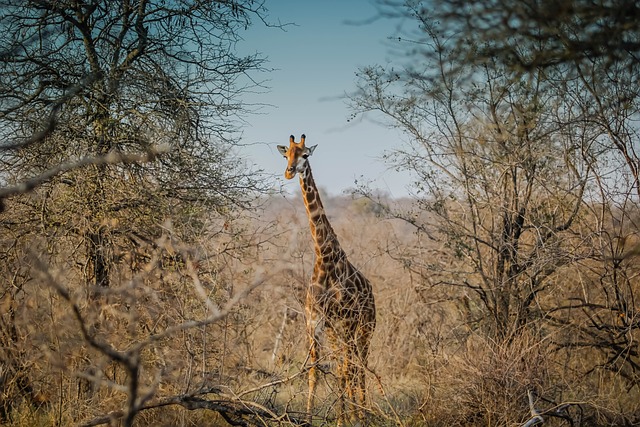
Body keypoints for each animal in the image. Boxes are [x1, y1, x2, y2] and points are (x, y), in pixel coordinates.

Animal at [278, 135, 378, 427]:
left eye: (305, 155)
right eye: (285, 154)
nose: (289, 172)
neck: (324, 257)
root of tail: (372, 292)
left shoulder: (344, 322)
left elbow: (344, 371)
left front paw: (344, 420)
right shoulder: (315, 322)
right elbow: (314, 372)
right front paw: (309, 418)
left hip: (364, 329)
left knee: (358, 367)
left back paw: (362, 415)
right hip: (340, 334)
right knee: (350, 367)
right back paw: (355, 413)